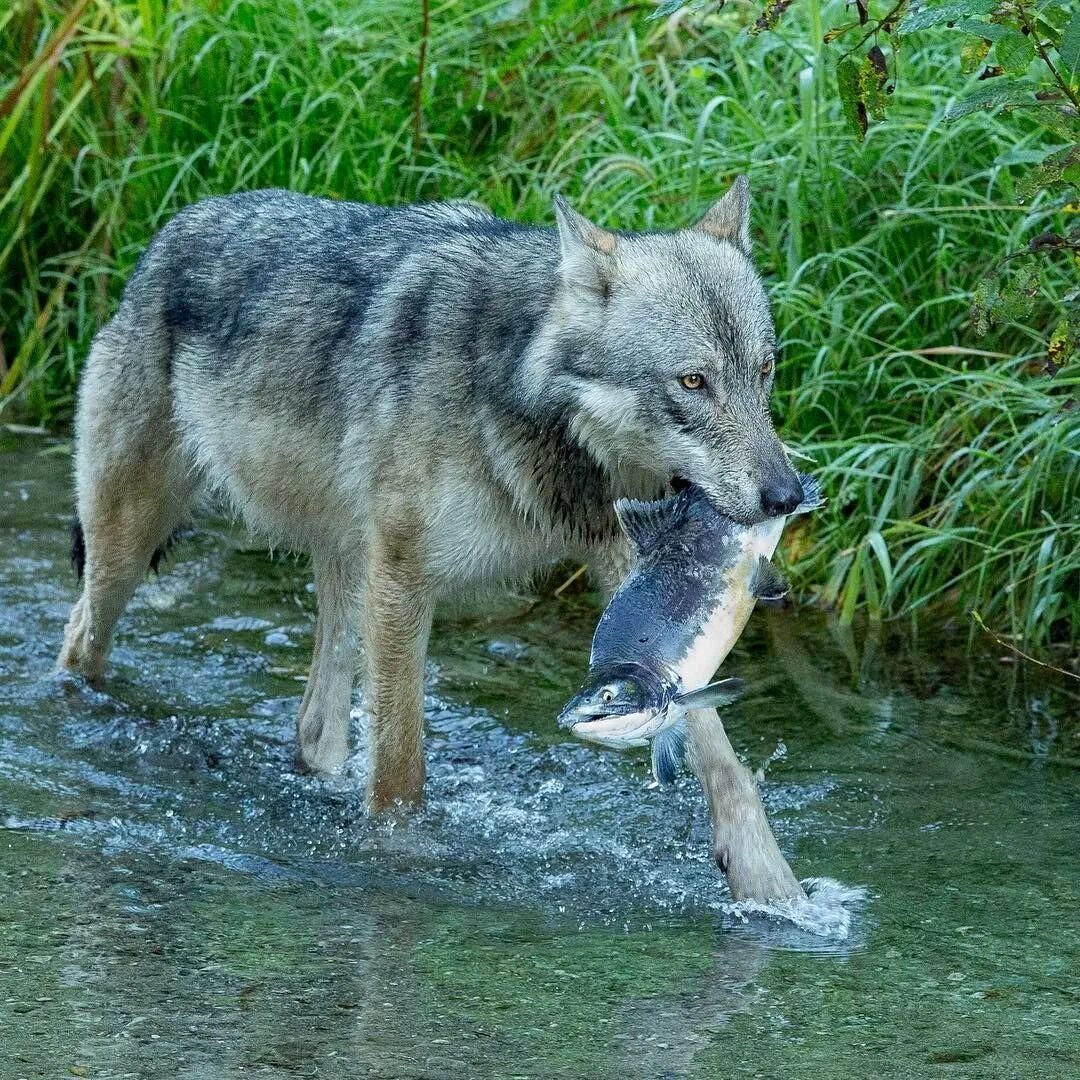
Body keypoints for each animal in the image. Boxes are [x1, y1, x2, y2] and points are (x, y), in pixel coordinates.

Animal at [56, 177, 803, 812]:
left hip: (346, 574)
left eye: (765, 370)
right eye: (692, 382)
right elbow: (400, 771)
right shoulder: (404, 583)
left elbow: (718, 755)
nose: (788, 496)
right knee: (78, 637)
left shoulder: (631, 570)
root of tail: (166, 233)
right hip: (131, 551)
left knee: (315, 725)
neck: (515, 395)